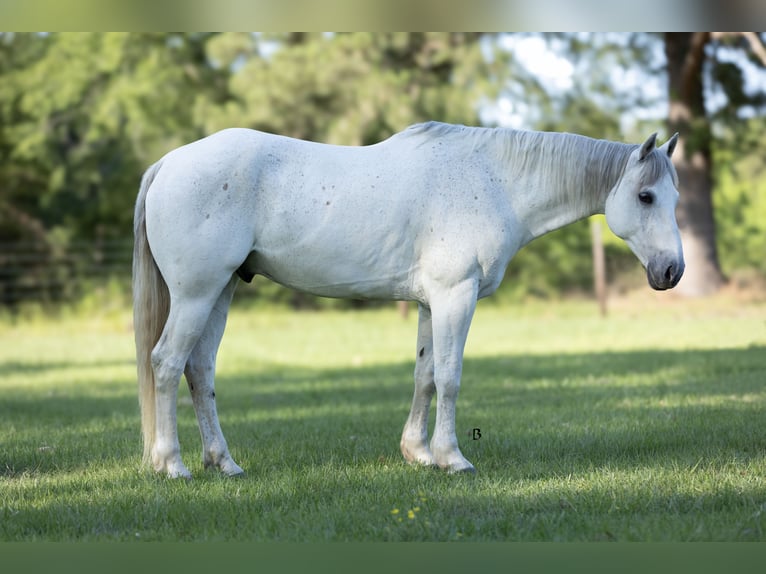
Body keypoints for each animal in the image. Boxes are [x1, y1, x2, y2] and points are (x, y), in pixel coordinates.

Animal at [132, 122, 684, 482]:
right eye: (646, 197)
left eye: (675, 199)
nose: (672, 271)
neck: (494, 182)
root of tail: (167, 164)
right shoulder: (455, 295)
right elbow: (450, 377)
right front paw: (452, 459)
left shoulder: (429, 303)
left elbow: (425, 376)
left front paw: (418, 454)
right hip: (196, 294)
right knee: (166, 364)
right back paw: (173, 464)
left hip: (220, 290)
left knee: (200, 370)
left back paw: (223, 463)